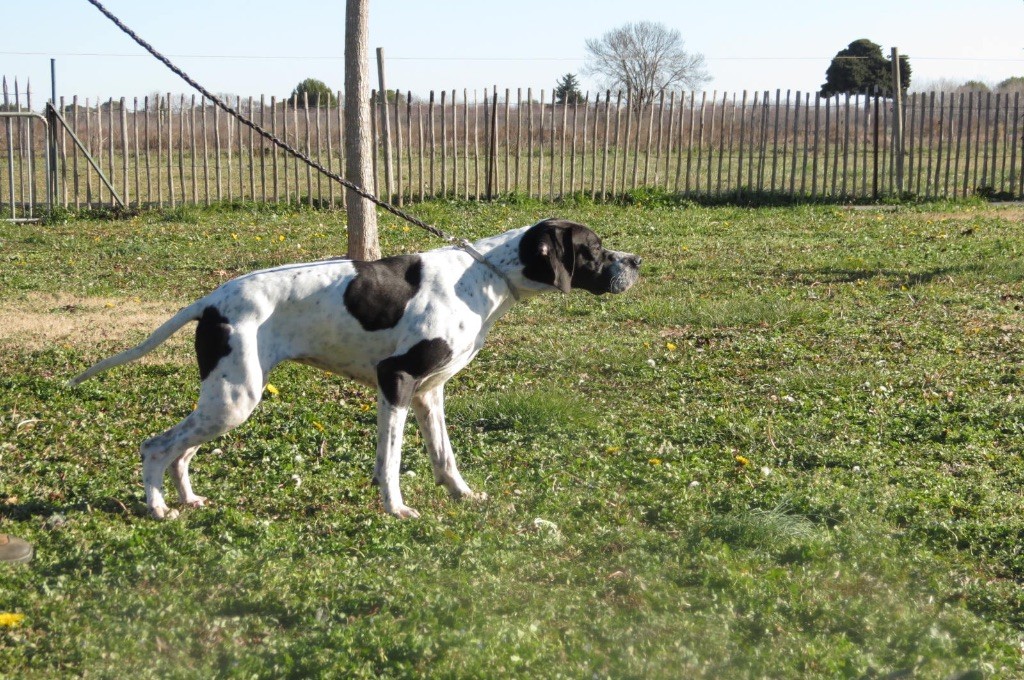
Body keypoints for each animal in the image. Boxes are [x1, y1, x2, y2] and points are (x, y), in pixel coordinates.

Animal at [72, 218, 638, 520]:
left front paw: (463, 495)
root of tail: (211, 301)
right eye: (594, 249)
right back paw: (157, 507)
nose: (636, 262)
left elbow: (443, 457)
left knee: (182, 452)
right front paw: (396, 509)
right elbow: (390, 461)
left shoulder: (430, 393)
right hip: (233, 400)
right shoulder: (397, 382)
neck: (483, 277)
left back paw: (187, 498)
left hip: (226, 401)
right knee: (157, 446)